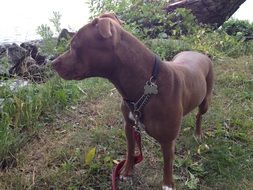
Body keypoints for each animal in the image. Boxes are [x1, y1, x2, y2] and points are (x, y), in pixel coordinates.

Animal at [52, 13, 213, 189]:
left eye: (74, 45)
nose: (52, 63)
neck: (146, 84)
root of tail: (199, 53)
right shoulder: (129, 125)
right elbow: (130, 150)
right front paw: (127, 171)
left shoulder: (167, 141)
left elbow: (167, 165)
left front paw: (167, 184)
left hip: (206, 99)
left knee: (199, 115)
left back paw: (198, 133)